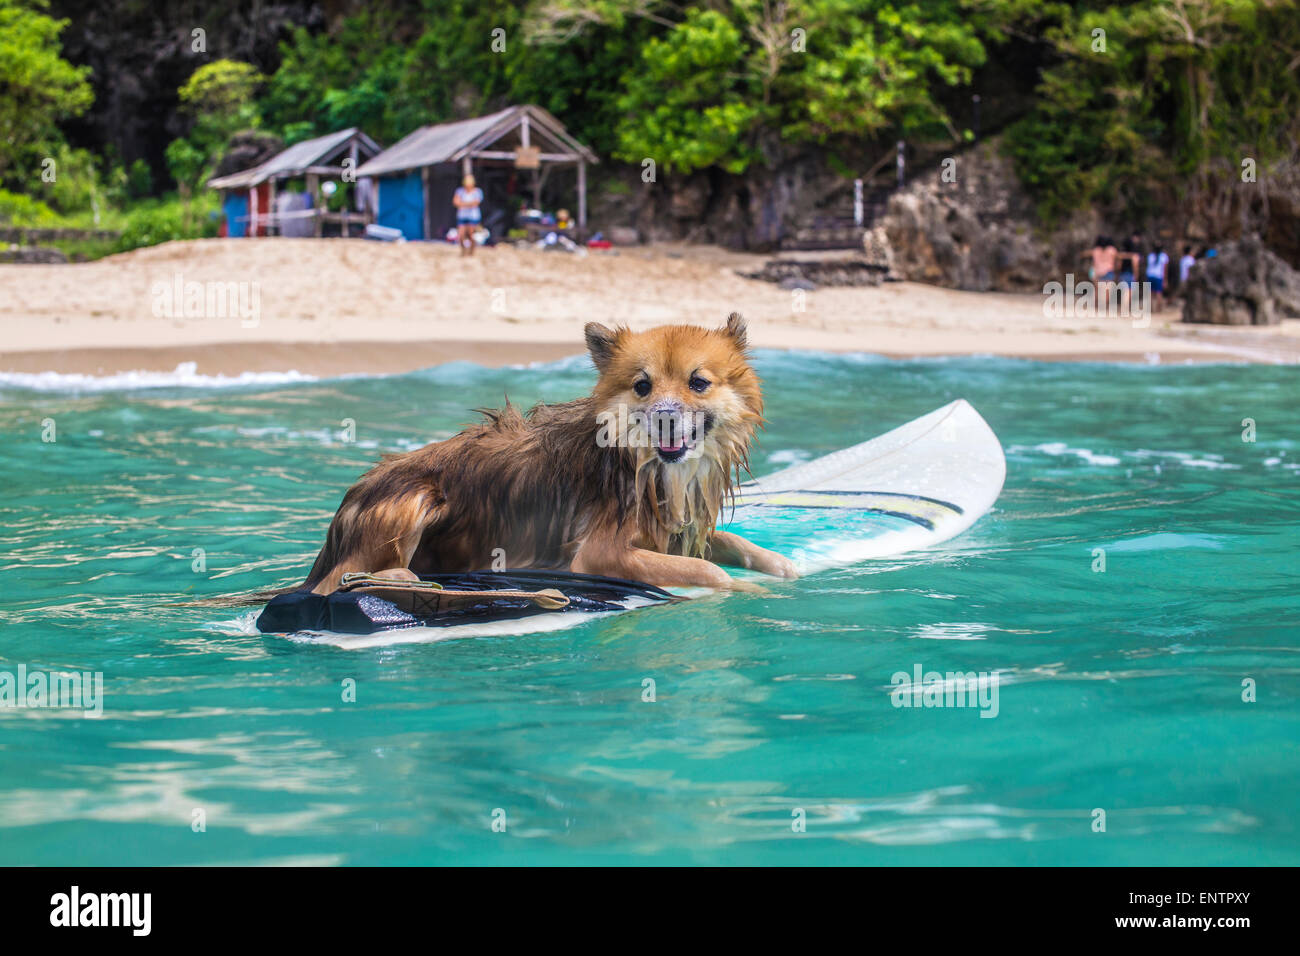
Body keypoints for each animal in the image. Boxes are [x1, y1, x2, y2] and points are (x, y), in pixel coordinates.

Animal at [299, 314, 795, 595]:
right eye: (642, 386)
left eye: (698, 382)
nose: (665, 419)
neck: (643, 467)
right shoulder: (600, 554)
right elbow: (711, 573)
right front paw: (746, 590)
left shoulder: (678, 528)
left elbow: (732, 544)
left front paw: (780, 567)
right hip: (413, 499)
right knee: (333, 581)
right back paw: (396, 577)